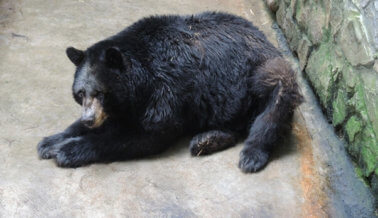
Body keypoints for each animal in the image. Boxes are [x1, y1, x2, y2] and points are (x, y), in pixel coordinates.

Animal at [37, 11, 302, 172]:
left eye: (101, 92)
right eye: (81, 93)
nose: (89, 119)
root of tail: (266, 40)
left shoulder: (166, 88)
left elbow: (145, 134)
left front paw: (68, 149)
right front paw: (51, 140)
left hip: (263, 69)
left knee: (276, 99)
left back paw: (251, 155)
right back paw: (207, 139)